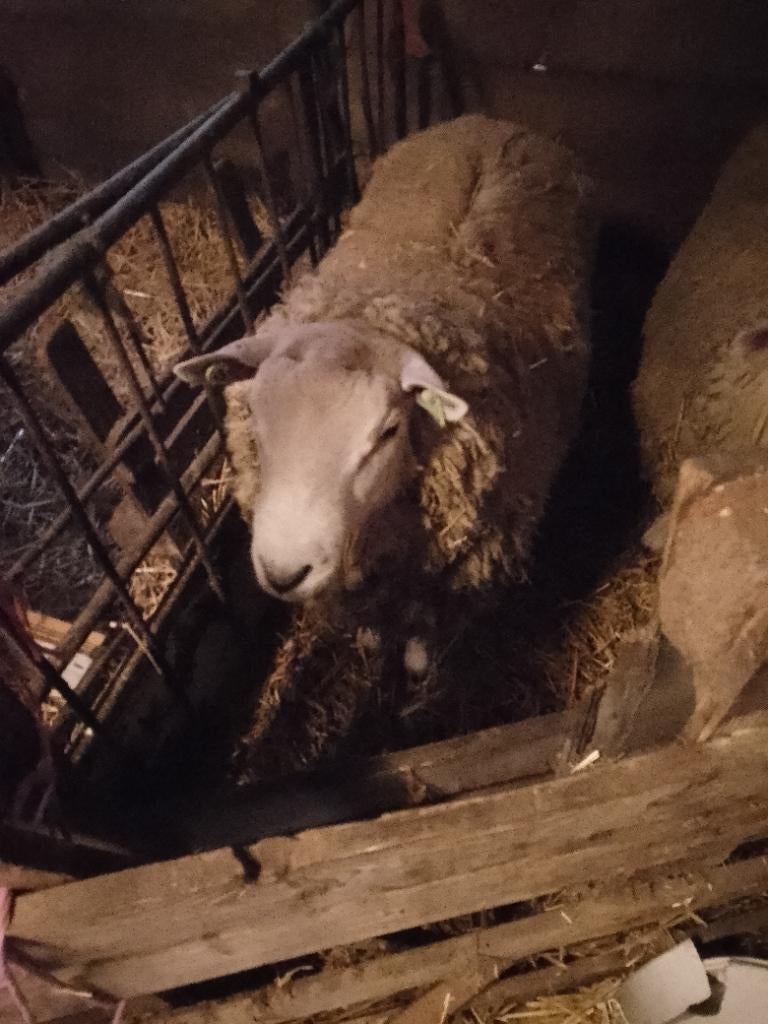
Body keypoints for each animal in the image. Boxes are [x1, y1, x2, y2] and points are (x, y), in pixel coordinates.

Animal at [176, 114, 595, 778]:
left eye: (388, 433)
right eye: (256, 423)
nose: (283, 571)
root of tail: (488, 120)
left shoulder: (451, 569)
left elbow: (423, 633)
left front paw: (416, 671)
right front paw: (374, 643)